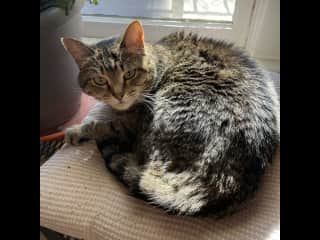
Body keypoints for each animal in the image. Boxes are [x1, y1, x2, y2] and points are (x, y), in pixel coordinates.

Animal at [61, 20, 278, 216]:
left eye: (129, 74)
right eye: (100, 80)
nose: (119, 95)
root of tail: (220, 188)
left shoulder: (133, 124)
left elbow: (102, 126)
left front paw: (76, 130)